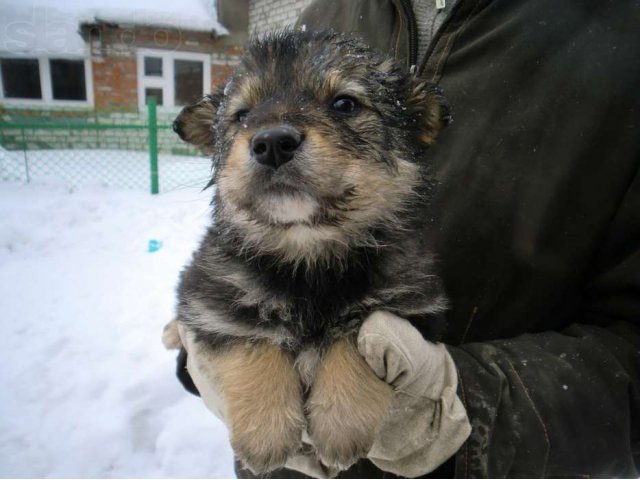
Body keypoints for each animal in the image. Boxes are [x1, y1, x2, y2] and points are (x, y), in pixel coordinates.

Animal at [170, 31, 450, 476]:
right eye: (242, 114)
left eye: (345, 104)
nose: (271, 143)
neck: (308, 258)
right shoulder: (211, 302)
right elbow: (252, 342)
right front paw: (264, 435)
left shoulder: (414, 308)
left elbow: (353, 338)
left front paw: (340, 426)